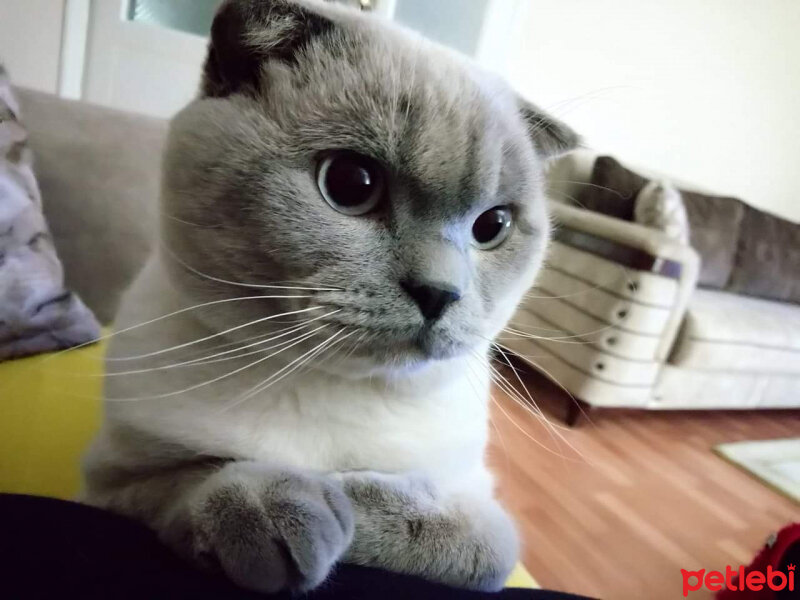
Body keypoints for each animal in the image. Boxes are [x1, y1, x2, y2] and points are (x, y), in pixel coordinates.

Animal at [83, 0, 576, 592]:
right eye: (350, 183)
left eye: (493, 226)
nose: (440, 293)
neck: (330, 387)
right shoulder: (109, 480)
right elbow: (189, 477)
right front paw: (283, 510)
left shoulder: (477, 504)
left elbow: (463, 537)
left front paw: (340, 500)